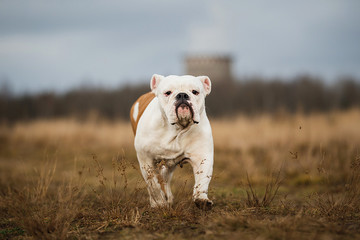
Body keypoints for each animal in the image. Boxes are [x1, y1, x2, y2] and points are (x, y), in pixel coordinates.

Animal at [130, 74, 212, 209]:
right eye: (168, 93)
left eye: (195, 92)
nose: (182, 95)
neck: (177, 129)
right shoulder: (145, 159)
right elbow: (153, 184)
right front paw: (159, 203)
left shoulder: (202, 156)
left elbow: (202, 179)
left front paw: (201, 199)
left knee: (165, 178)